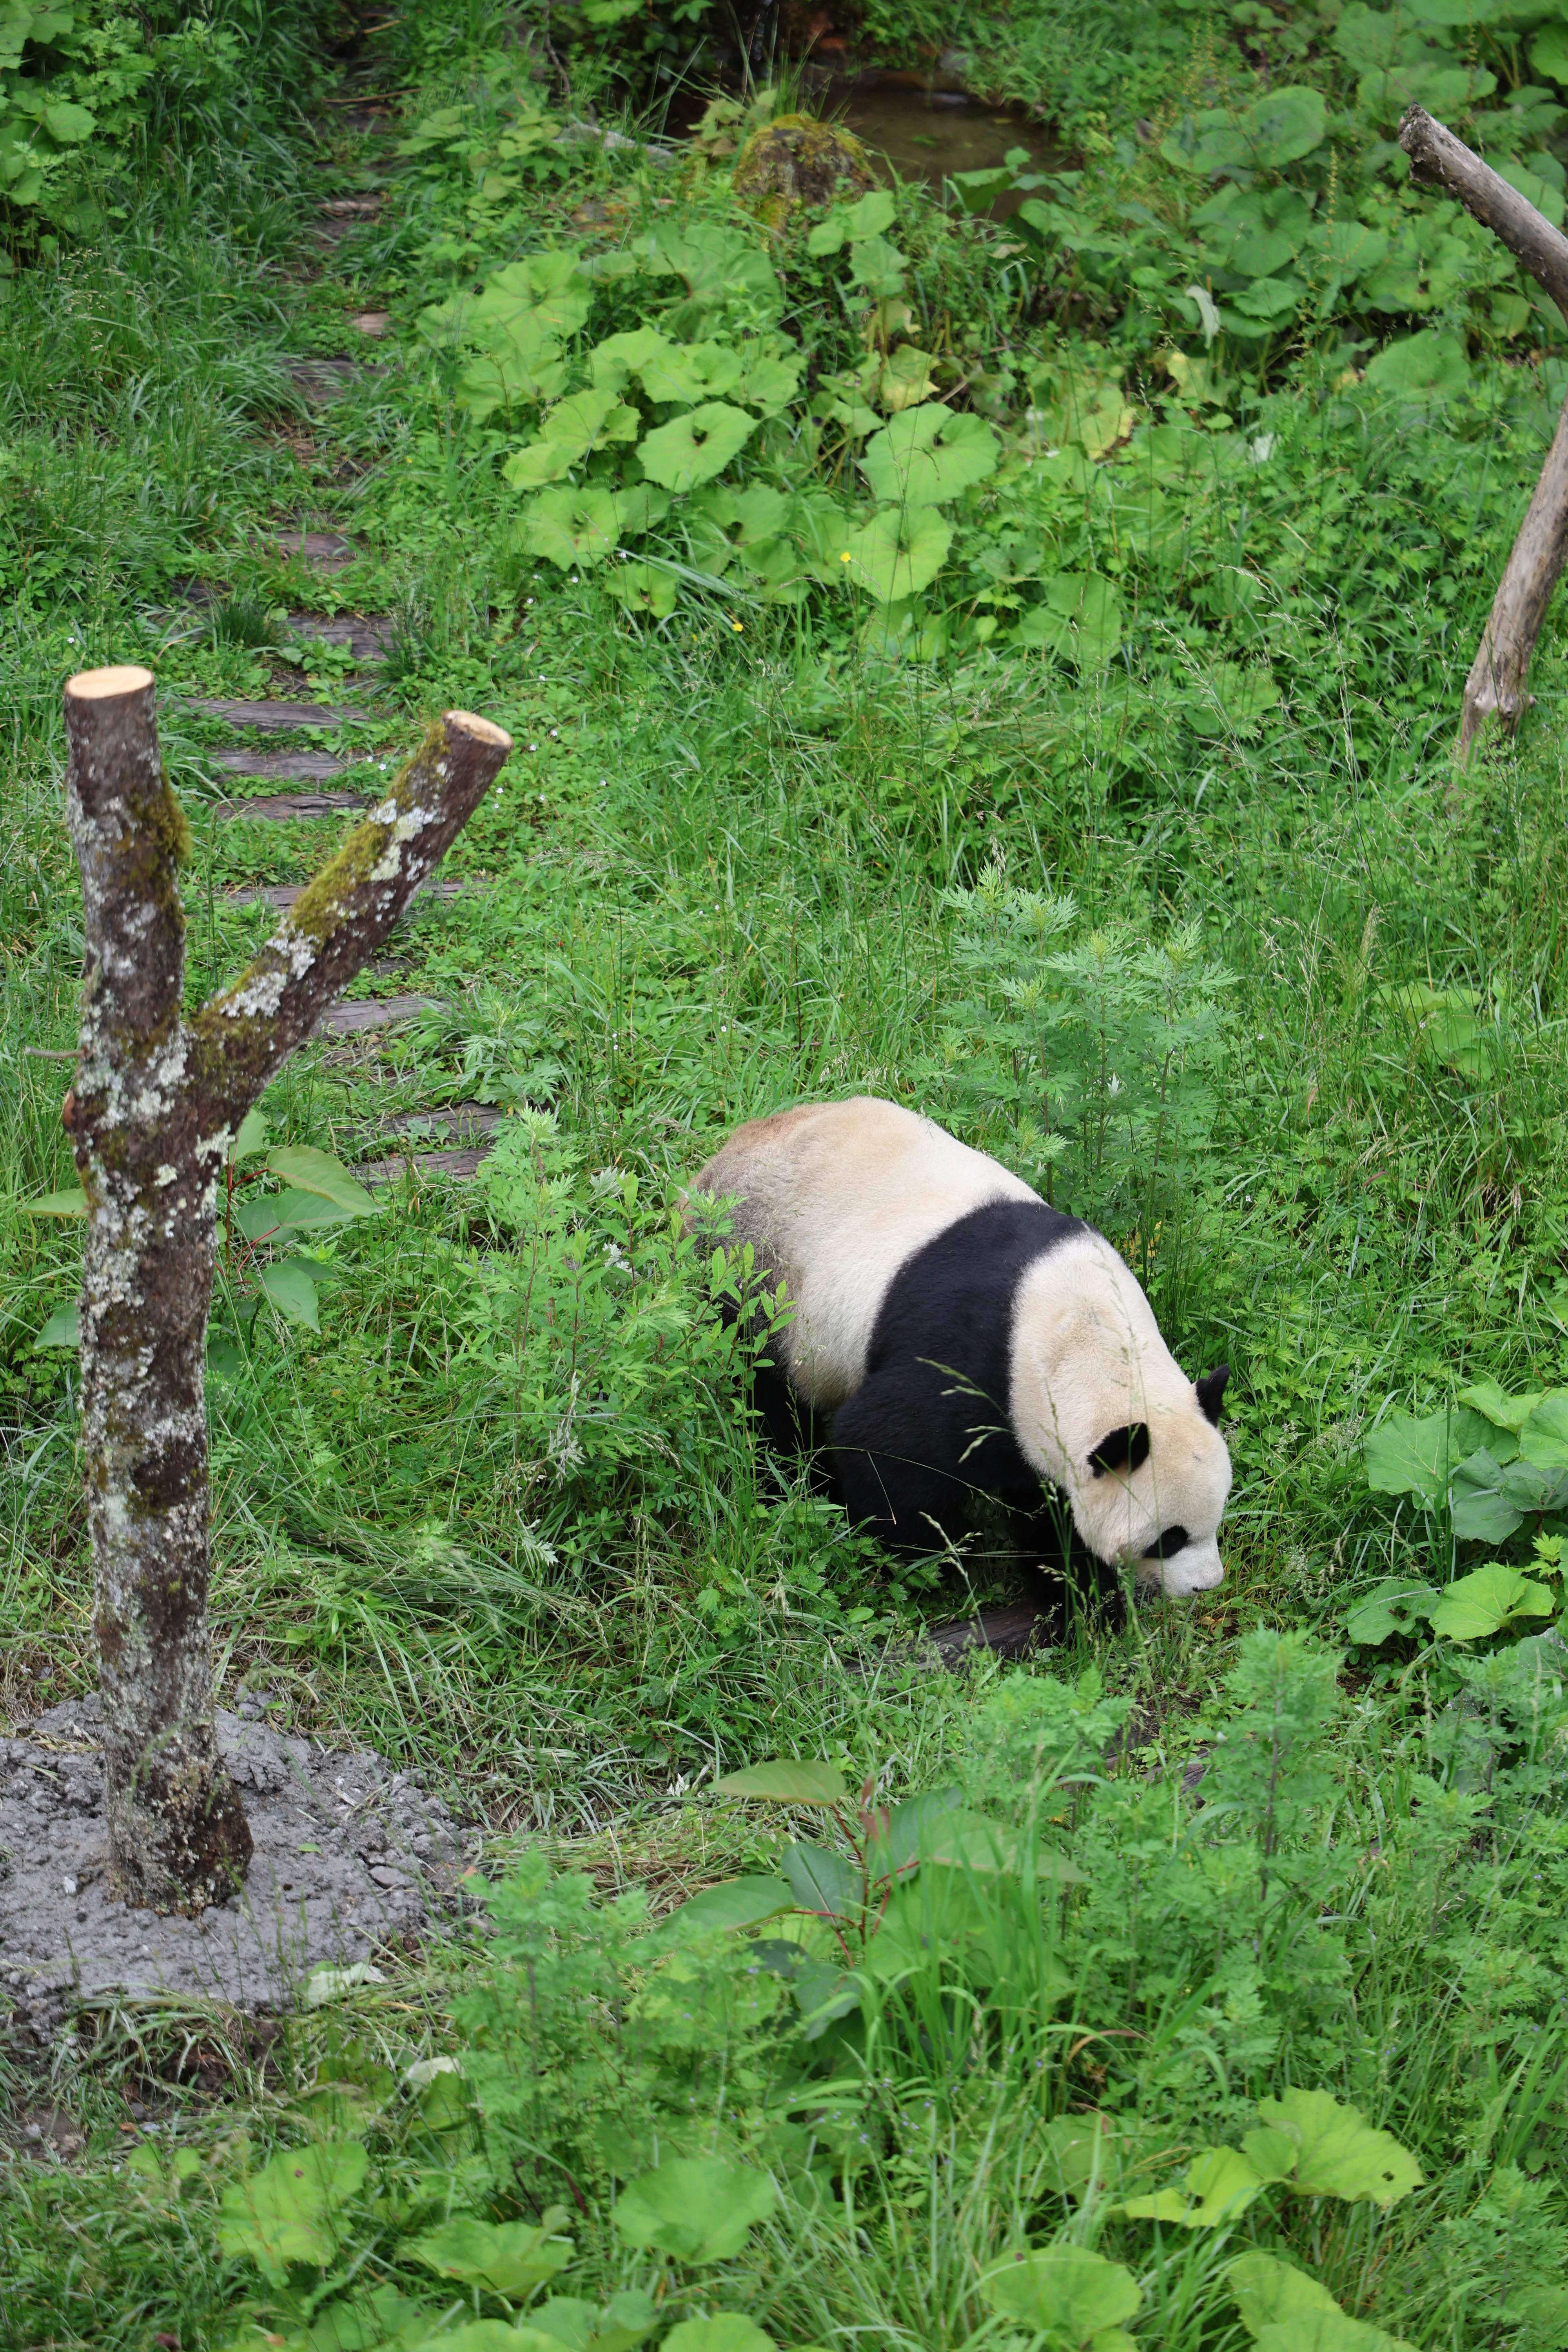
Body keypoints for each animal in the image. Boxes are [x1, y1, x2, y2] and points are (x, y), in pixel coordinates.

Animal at [691, 1097, 1231, 1603]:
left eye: (1217, 1516)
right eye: (1169, 1539)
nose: (1206, 1585)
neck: (1081, 1337)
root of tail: (709, 1172)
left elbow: (1050, 1512)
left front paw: (1079, 1599)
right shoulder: (971, 1363)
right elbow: (881, 1450)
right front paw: (943, 1563)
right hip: (758, 1280)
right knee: (766, 1400)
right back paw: (804, 1483)